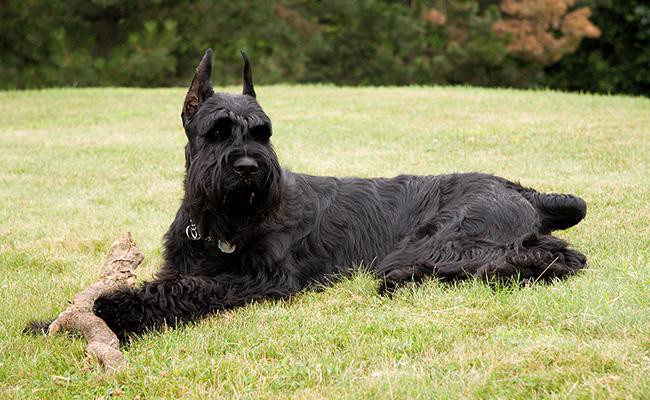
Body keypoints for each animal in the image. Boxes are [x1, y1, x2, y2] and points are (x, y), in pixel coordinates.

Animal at [88, 48, 584, 340]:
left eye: (263, 133)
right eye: (217, 131)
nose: (248, 168)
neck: (219, 224)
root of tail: (521, 190)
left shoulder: (264, 277)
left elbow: (193, 287)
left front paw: (117, 308)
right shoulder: (185, 263)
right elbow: (180, 280)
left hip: (444, 240)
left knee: (518, 261)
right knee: (559, 254)